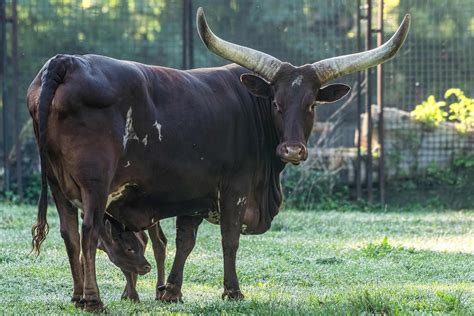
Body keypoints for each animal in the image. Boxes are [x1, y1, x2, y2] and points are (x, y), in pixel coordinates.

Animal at [27, 7, 410, 312]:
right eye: (276, 102)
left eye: (311, 104)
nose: (293, 150)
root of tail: (66, 62)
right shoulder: (235, 189)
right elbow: (229, 238)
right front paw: (232, 291)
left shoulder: (194, 193)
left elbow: (184, 241)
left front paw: (171, 291)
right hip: (96, 184)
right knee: (89, 232)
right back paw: (93, 300)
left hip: (57, 183)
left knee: (69, 233)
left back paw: (77, 296)